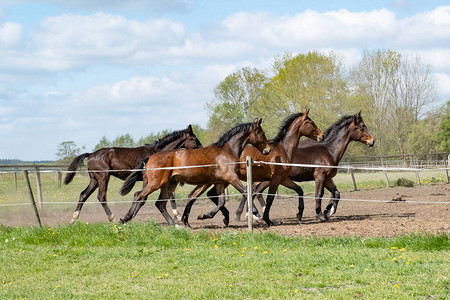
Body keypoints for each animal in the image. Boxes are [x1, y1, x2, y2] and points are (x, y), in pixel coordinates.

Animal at [63, 123, 202, 223]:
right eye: (193, 138)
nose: (201, 148)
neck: (157, 153)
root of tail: (91, 154)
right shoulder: (148, 179)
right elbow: (142, 197)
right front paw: (127, 217)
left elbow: (169, 195)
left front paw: (177, 216)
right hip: (103, 178)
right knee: (101, 197)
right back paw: (112, 218)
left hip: (94, 180)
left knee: (83, 195)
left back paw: (73, 219)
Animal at [118, 118, 270, 226]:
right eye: (262, 133)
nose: (267, 150)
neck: (227, 151)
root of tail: (150, 157)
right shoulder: (231, 178)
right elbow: (245, 192)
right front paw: (256, 214)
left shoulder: (221, 182)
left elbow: (221, 201)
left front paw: (208, 216)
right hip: (156, 183)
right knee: (139, 196)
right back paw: (125, 219)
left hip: (169, 184)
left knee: (159, 203)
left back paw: (175, 225)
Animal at [185, 109, 326, 226]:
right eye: (310, 122)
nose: (322, 135)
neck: (283, 150)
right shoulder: (275, 179)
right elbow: (269, 198)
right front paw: (267, 219)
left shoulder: (283, 179)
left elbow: (299, 190)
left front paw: (299, 214)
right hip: (215, 180)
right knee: (198, 195)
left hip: (222, 181)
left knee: (210, 195)